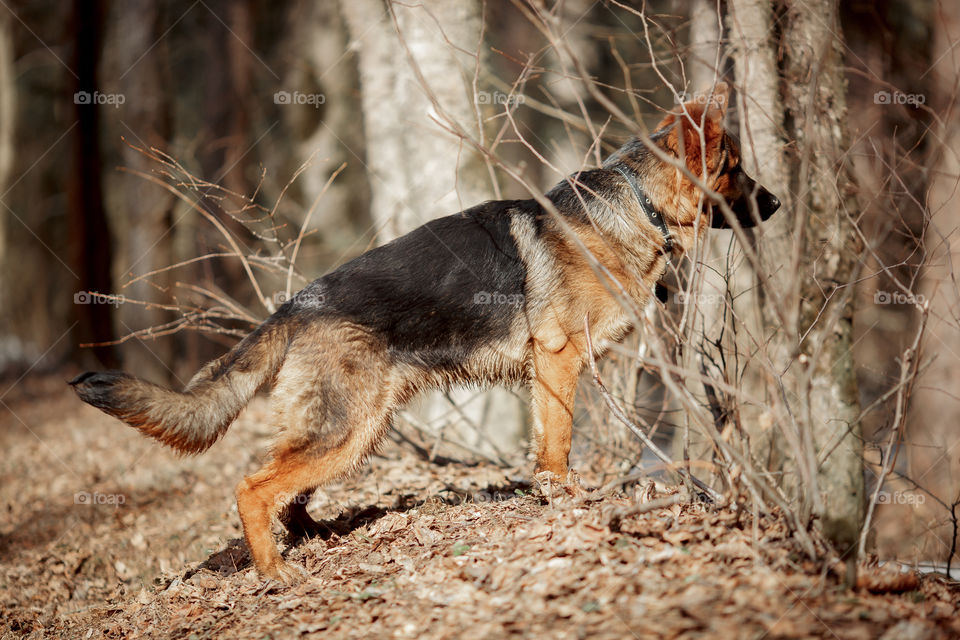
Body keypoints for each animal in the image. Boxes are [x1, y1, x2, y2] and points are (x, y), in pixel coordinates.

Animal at [75, 84, 780, 580]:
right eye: (734, 166)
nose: (774, 204)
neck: (636, 201)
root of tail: (296, 304)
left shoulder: (550, 370)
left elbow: (548, 438)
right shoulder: (558, 360)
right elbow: (558, 442)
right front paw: (565, 497)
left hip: (354, 430)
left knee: (288, 491)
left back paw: (312, 541)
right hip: (348, 428)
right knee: (255, 488)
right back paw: (275, 572)